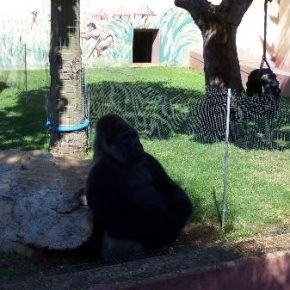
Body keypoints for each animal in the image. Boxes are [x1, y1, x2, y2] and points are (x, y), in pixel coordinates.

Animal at [86, 113, 193, 258]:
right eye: (125, 138)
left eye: (134, 135)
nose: (137, 144)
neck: (112, 157)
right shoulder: (100, 173)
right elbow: (119, 217)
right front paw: (170, 225)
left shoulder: (148, 158)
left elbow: (170, 189)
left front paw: (180, 213)